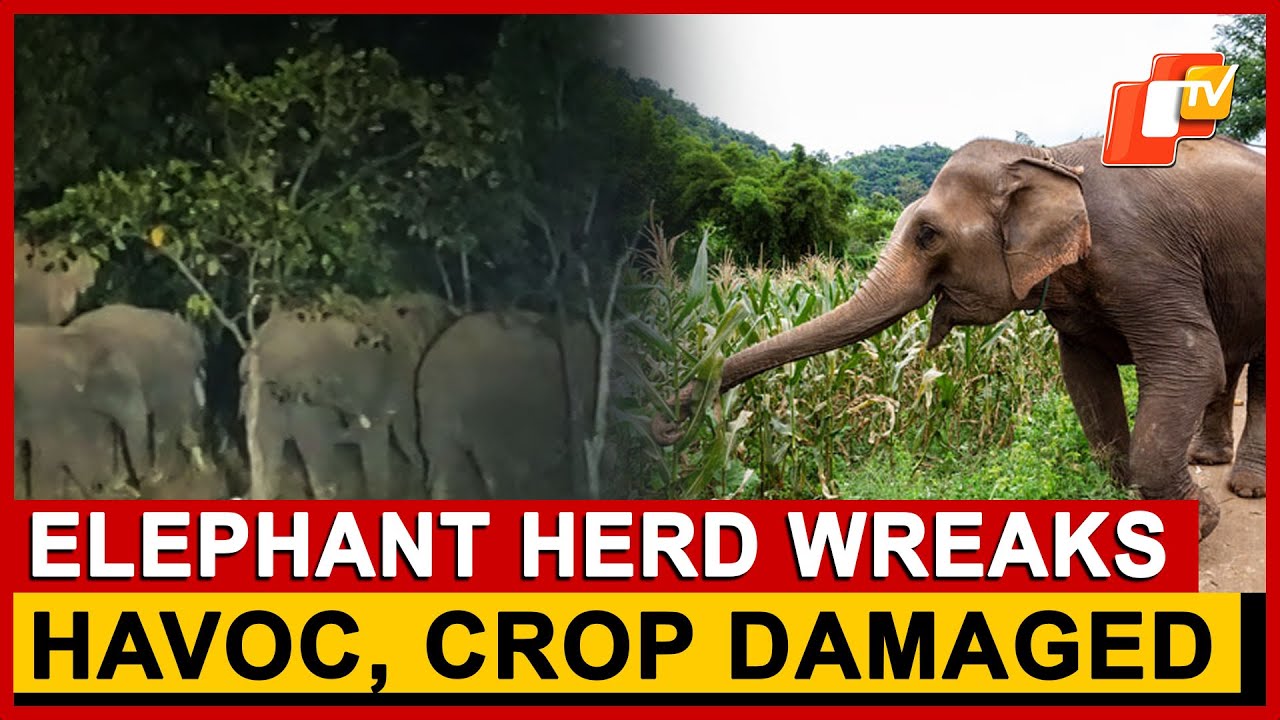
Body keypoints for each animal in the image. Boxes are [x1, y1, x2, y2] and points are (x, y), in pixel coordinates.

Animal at [652, 136, 1264, 541]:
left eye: (927, 235)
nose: (671, 415)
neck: (1051, 156)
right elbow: (1086, 380)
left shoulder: (1143, 256)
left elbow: (1190, 359)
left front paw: (1200, 525)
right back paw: (1208, 459)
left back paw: (1246, 489)